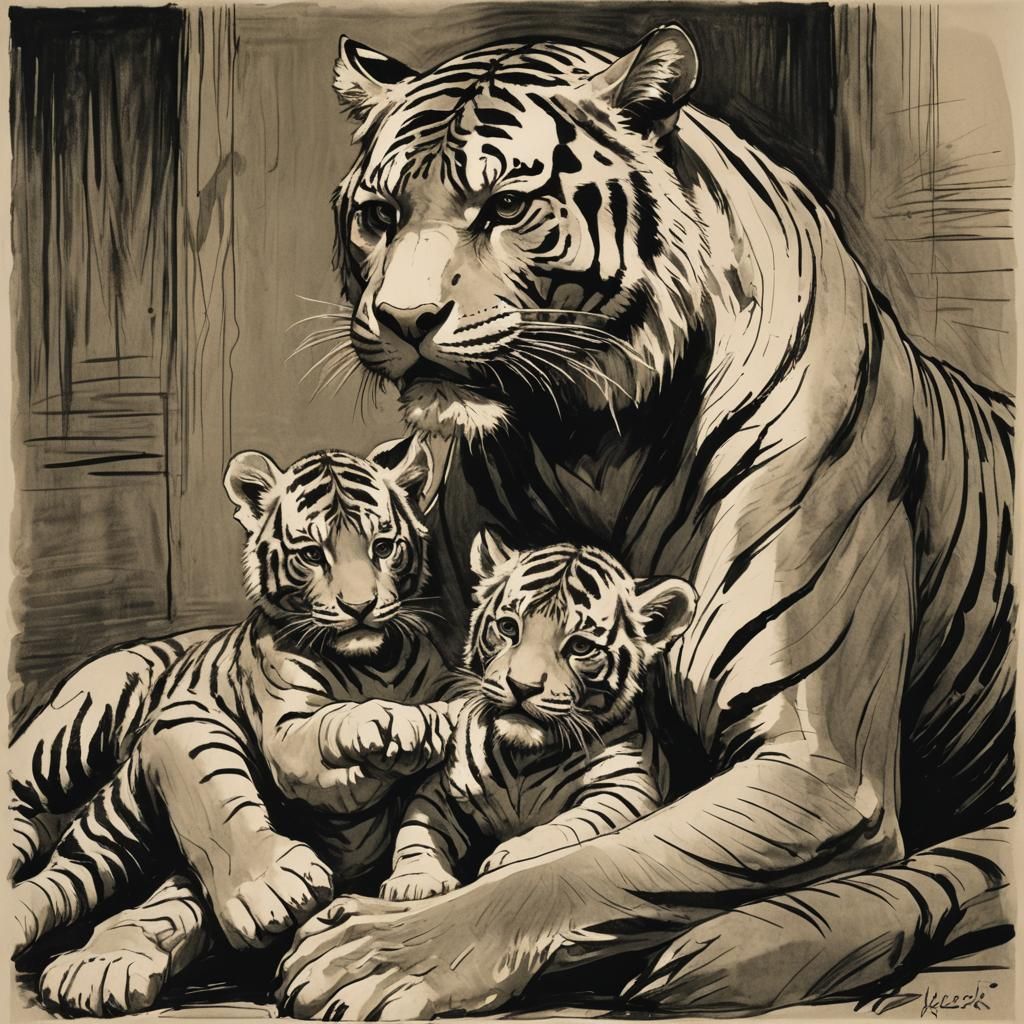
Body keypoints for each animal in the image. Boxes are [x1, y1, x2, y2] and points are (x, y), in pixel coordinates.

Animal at [11, 435, 475, 1016]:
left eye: (383, 546)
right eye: (312, 554)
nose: (360, 607)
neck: (374, 663)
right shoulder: (270, 731)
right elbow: (252, 774)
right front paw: (393, 724)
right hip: (74, 740)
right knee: (49, 857)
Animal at [380, 529, 694, 902]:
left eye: (580, 647)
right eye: (507, 627)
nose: (522, 686)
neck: (522, 759)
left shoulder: (624, 788)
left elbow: (567, 827)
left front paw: (511, 853)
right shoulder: (442, 788)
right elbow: (418, 829)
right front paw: (413, 880)